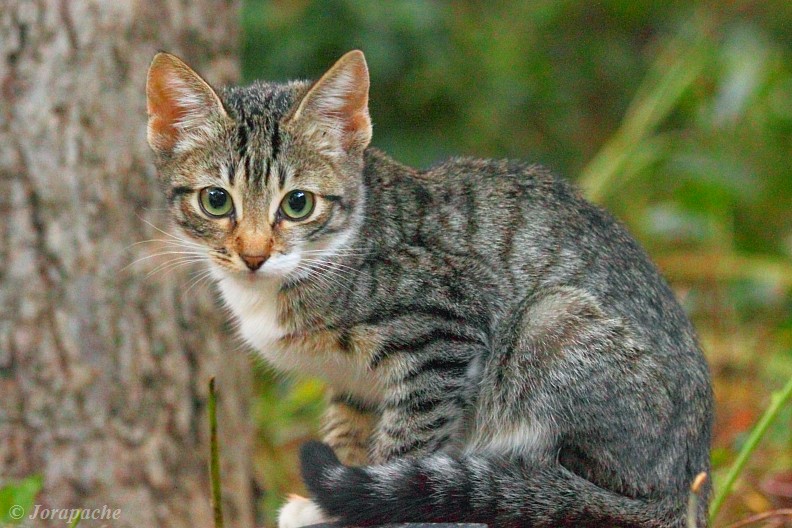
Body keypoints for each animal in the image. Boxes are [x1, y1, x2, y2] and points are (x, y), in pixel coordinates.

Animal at [145, 50, 716, 528]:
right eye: (216, 200)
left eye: (298, 203)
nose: (254, 254)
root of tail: (690, 485)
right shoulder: (354, 382)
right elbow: (349, 428)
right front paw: (335, 492)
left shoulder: (443, 334)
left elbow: (409, 437)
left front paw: (366, 501)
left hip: (553, 321)